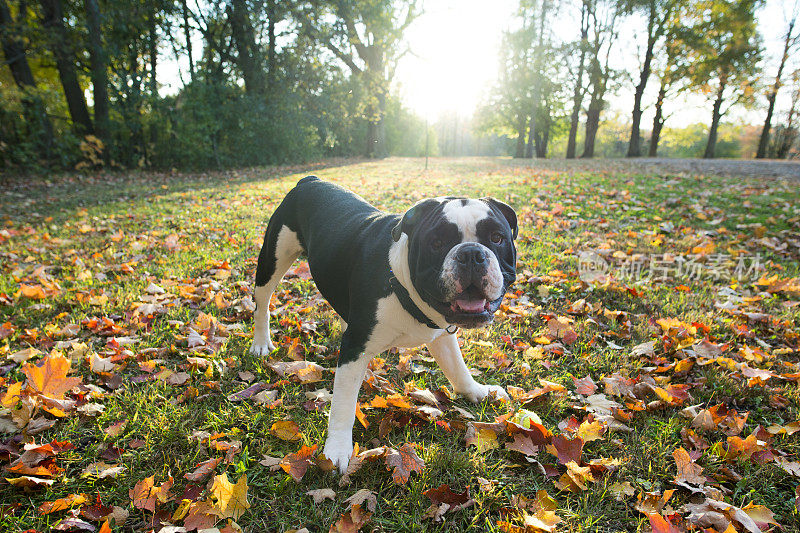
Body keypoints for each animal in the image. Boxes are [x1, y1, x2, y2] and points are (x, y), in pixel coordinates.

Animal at [250, 177, 520, 472]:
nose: (471, 253)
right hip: (273, 259)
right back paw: (261, 343)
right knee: (262, 303)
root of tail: (310, 180)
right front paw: (337, 449)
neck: (403, 285)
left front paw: (477, 391)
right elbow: (343, 404)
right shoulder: (356, 345)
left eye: (497, 238)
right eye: (437, 243)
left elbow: (457, 367)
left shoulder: (441, 335)